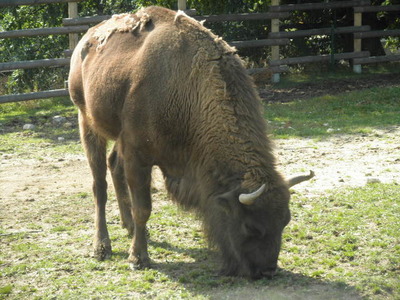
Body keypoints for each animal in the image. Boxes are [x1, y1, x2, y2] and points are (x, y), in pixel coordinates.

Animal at [68, 5, 312, 280]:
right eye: (250, 226)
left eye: (285, 221)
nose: (267, 270)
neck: (188, 90)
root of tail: (85, 41)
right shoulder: (138, 155)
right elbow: (144, 208)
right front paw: (138, 258)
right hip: (87, 121)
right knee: (99, 183)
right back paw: (101, 247)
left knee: (114, 167)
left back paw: (128, 227)